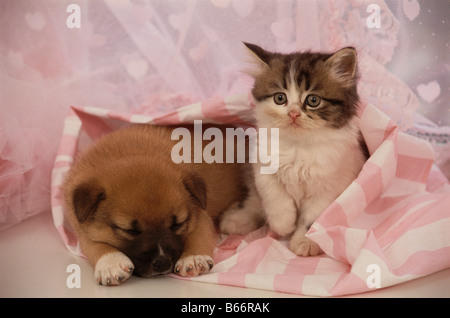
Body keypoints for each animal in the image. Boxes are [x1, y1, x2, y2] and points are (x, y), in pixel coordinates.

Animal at [62, 123, 253, 286]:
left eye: (177, 224)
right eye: (130, 230)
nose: (162, 264)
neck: (129, 151)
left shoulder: (200, 215)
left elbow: (199, 235)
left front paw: (193, 257)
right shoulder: (81, 228)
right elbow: (93, 244)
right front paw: (111, 262)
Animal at [244, 42, 368, 256]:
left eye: (313, 100)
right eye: (280, 98)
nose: (293, 114)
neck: (298, 147)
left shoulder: (330, 187)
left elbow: (314, 218)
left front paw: (305, 242)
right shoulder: (262, 168)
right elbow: (274, 197)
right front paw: (283, 225)